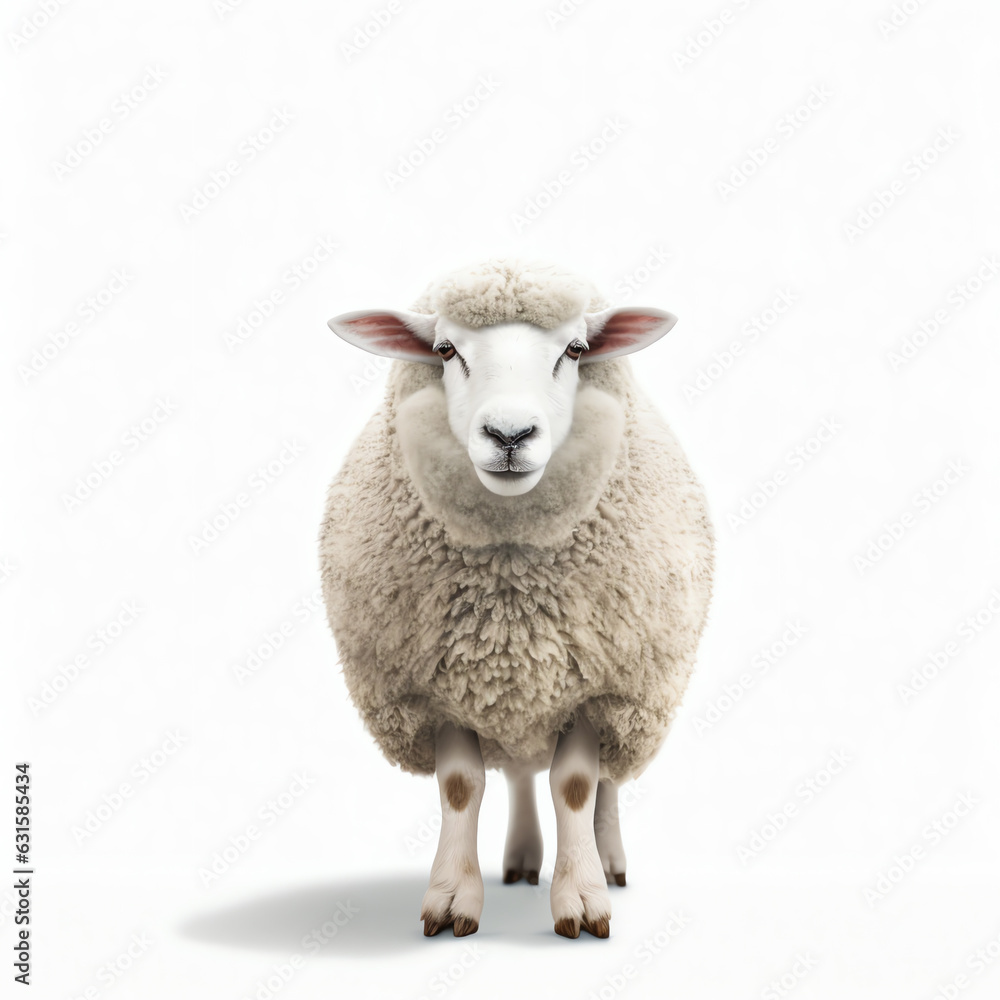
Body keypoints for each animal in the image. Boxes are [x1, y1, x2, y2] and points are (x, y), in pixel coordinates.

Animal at [319, 259, 713, 940]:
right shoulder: (441, 683)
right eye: (444, 350)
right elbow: (461, 786)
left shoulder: (594, 685)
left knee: (605, 783)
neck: (510, 603)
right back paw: (525, 860)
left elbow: (577, 786)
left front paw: (582, 898)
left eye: (576, 349)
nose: (509, 434)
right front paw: (452, 898)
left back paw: (609, 861)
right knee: (526, 775)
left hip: (634, 699)